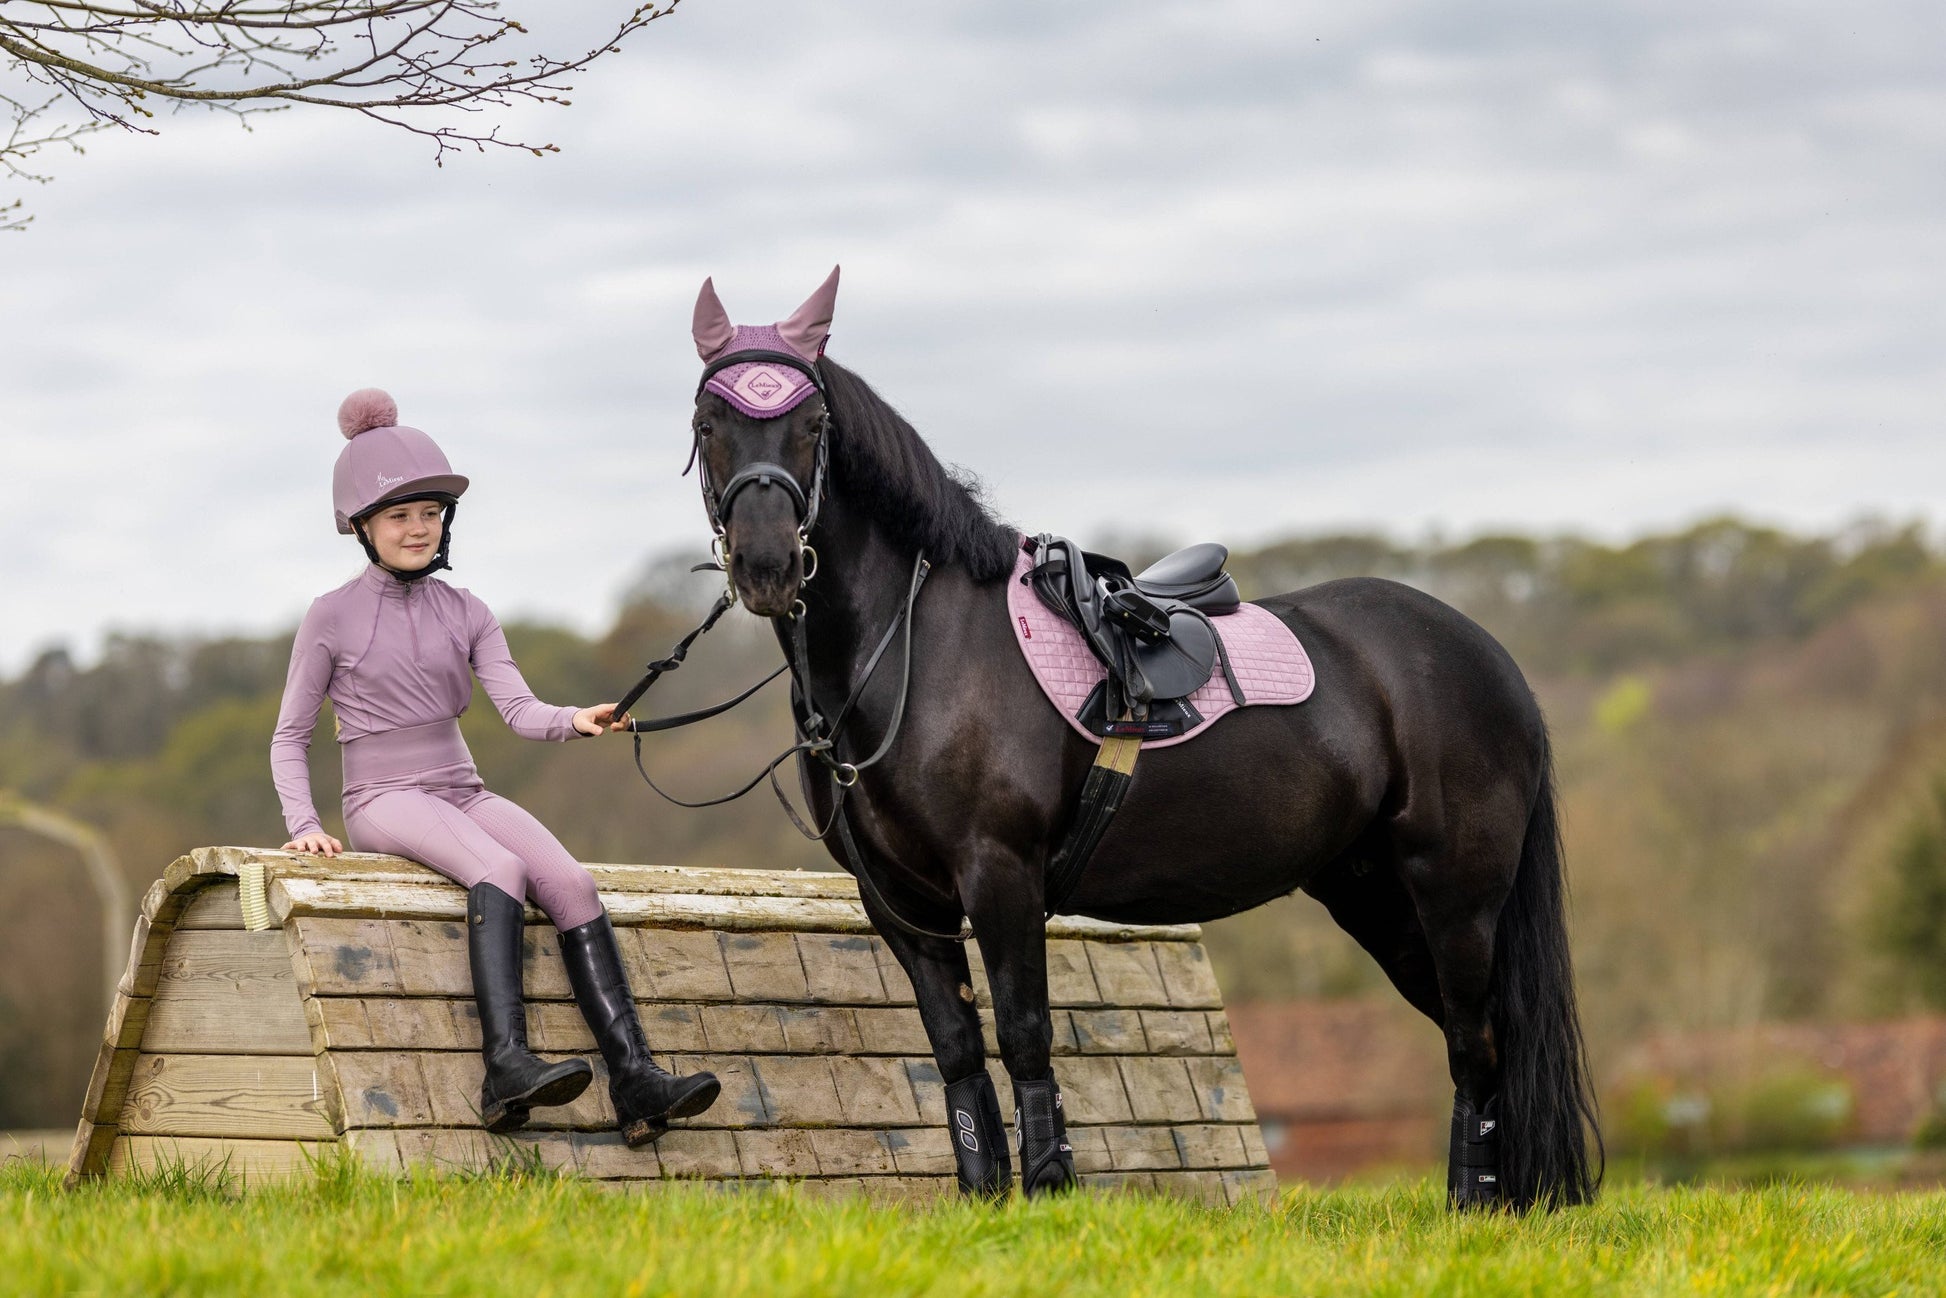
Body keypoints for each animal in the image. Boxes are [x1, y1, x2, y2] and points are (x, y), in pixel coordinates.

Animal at [658, 270, 1600, 1210]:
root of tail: (1490, 660)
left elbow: (1026, 1037)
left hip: (1455, 894)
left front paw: (1048, 1191)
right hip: (1376, 895)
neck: (912, 649)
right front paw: (987, 1200)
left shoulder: (999, 874)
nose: (768, 566)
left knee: (1477, 1044)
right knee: (1478, 1040)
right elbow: (959, 1057)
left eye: (815, 425)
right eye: (707, 425)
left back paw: (1475, 1208)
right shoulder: (903, 906)